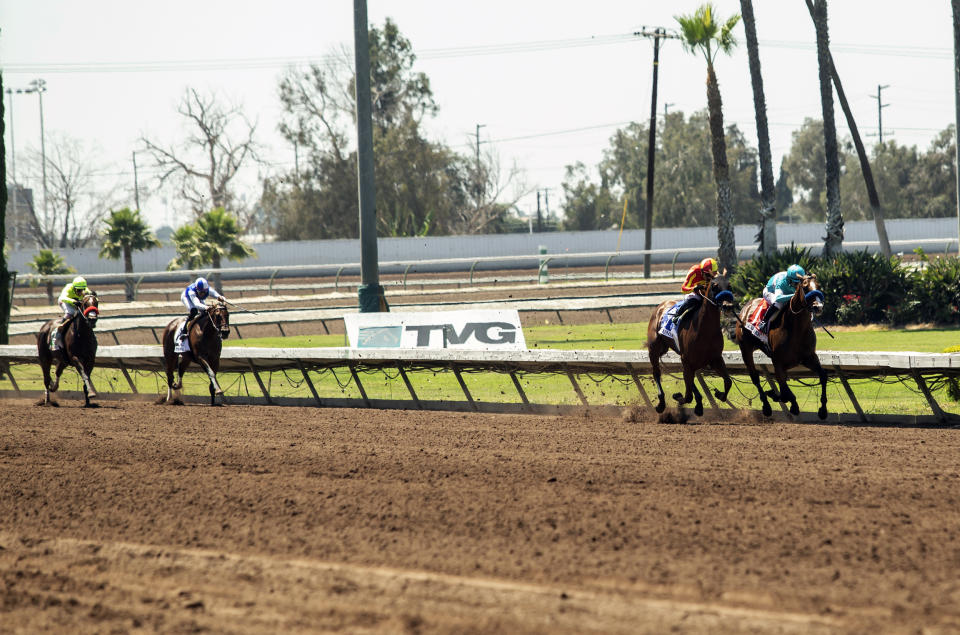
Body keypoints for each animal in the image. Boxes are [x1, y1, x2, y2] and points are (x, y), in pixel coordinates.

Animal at [648, 274, 740, 418]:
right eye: (714, 286)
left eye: (729, 286)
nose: (728, 306)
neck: (705, 329)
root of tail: (661, 306)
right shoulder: (686, 359)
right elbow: (688, 395)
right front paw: (678, 396)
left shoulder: (715, 358)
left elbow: (728, 381)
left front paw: (719, 394)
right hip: (655, 349)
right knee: (657, 372)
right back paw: (661, 404)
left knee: (691, 377)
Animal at [740, 274, 828, 420]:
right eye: (805, 287)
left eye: (819, 286)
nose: (818, 307)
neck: (797, 329)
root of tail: (746, 306)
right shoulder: (778, 362)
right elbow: (784, 387)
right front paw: (792, 405)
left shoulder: (809, 357)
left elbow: (823, 376)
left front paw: (823, 410)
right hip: (746, 349)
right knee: (755, 377)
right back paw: (766, 407)